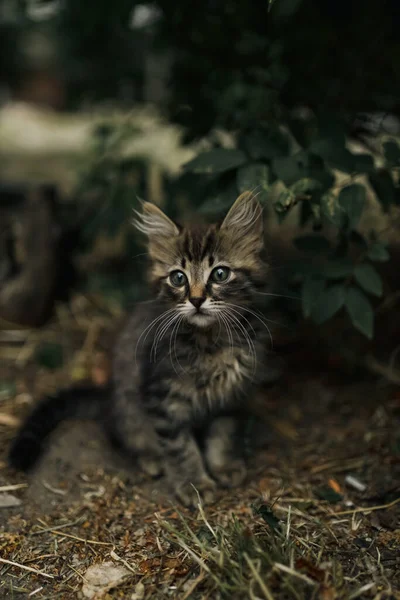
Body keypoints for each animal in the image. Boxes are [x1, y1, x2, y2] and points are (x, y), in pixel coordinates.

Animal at [8, 193, 272, 506]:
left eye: (220, 274)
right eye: (178, 278)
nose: (196, 300)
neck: (209, 342)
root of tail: (106, 397)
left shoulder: (230, 396)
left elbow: (223, 433)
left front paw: (223, 466)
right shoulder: (162, 397)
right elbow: (181, 447)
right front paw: (194, 484)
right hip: (128, 408)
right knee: (121, 434)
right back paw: (150, 458)